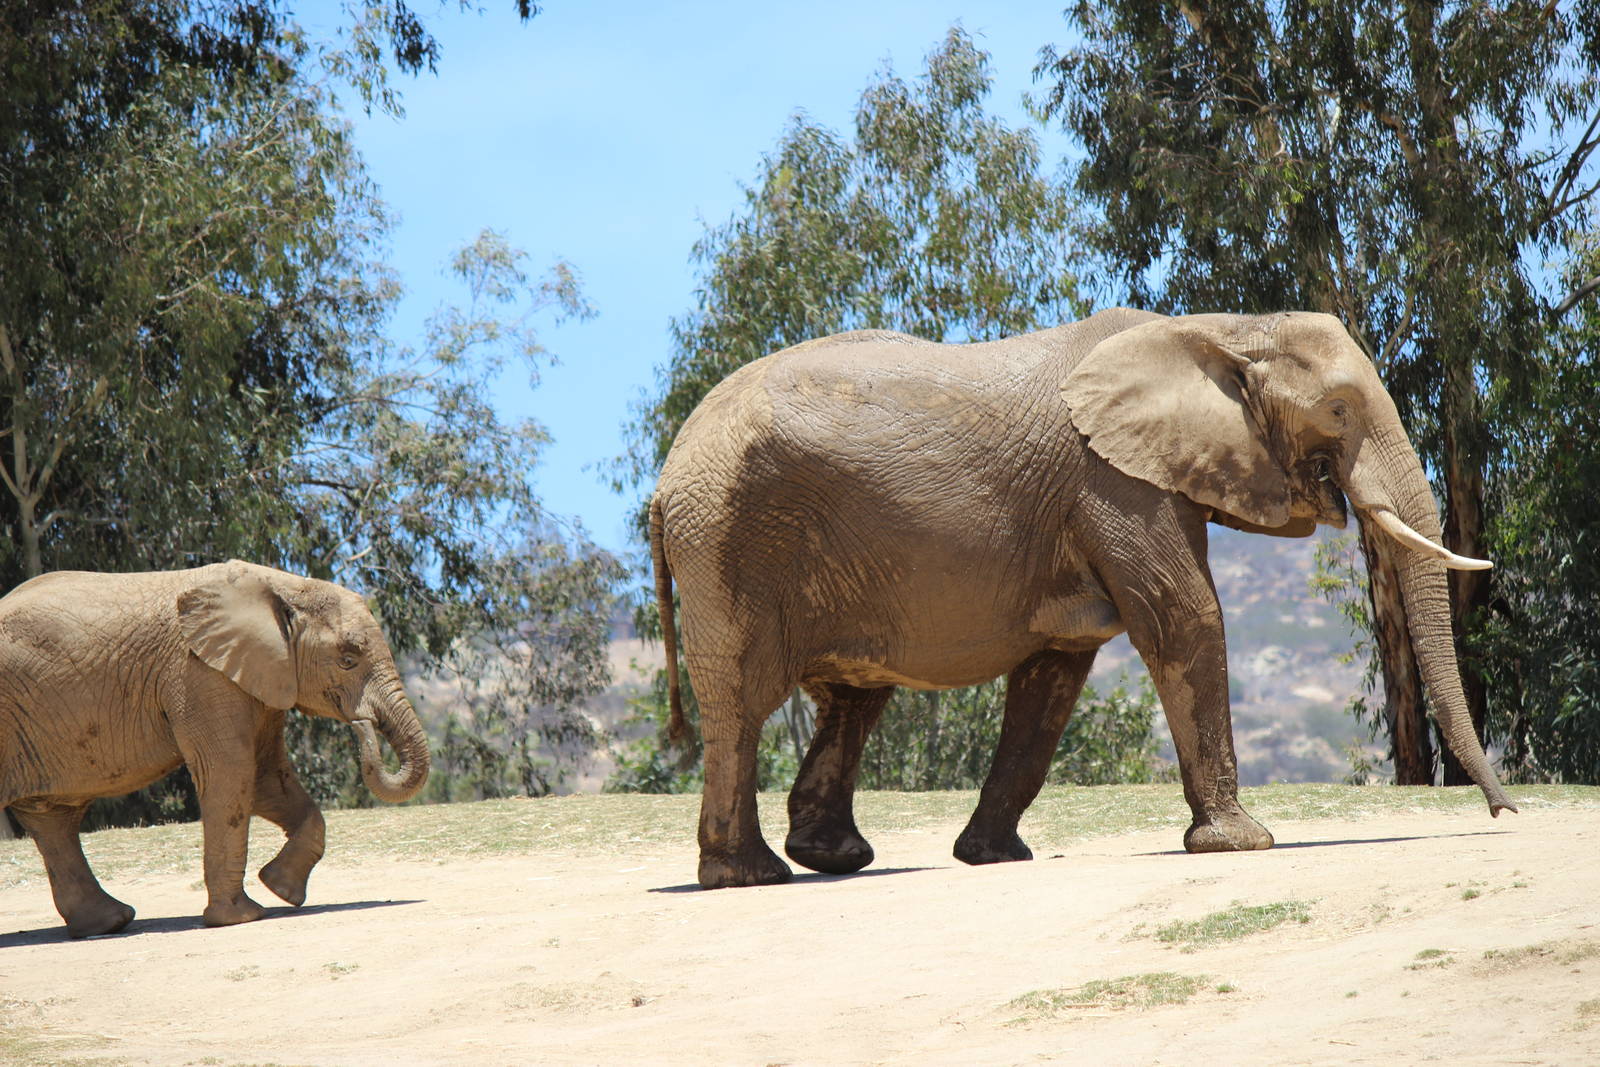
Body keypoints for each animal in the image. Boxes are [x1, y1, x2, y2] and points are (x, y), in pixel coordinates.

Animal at [0, 560, 430, 936]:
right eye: (347, 659)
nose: (363, 725)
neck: (282, 584)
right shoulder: (198, 674)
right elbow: (230, 772)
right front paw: (241, 918)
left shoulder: (255, 676)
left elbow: (264, 776)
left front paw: (281, 889)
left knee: (53, 819)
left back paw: (110, 923)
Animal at [650, 308, 1516, 890]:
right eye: (1338, 410)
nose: (1506, 815)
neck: (1220, 328)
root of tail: (665, 482)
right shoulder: (1118, 483)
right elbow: (1187, 620)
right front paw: (1244, 844)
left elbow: (1054, 673)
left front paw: (994, 858)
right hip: (732, 542)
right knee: (744, 700)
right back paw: (750, 875)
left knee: (853, 698)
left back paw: (833, 859)